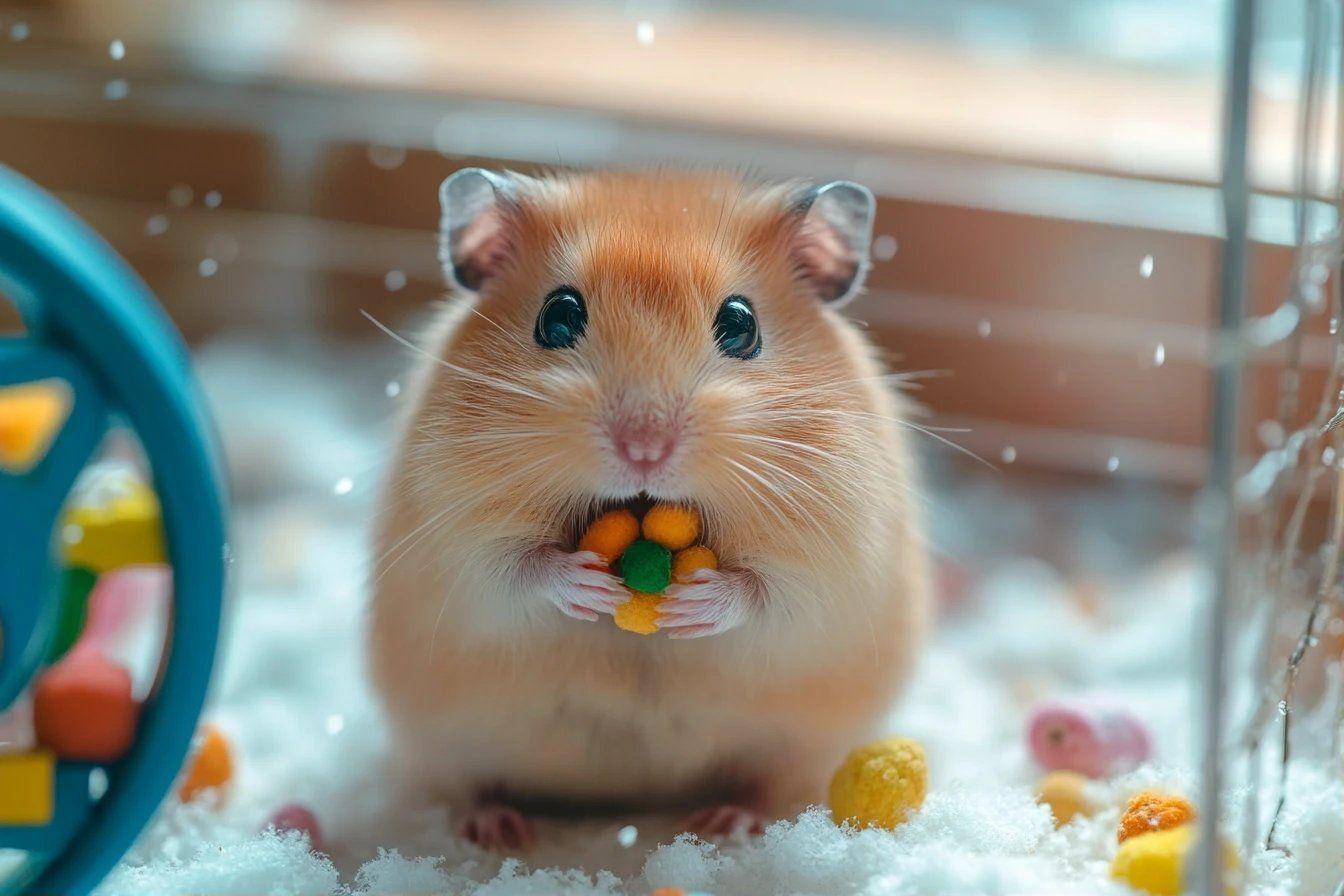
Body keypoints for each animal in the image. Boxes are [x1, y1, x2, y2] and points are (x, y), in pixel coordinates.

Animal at [368, 169, 930, 849]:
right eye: (558, 316)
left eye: (741, 325)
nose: (644, 449)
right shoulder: (456, 529)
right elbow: (515, 566)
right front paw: (590, 587)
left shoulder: (832, 552)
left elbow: (767, 591)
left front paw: (691, 604)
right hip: (447, 741)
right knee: (469, 786)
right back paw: (498, 828)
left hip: (798, 747)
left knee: (765, 785)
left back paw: (726, 823)